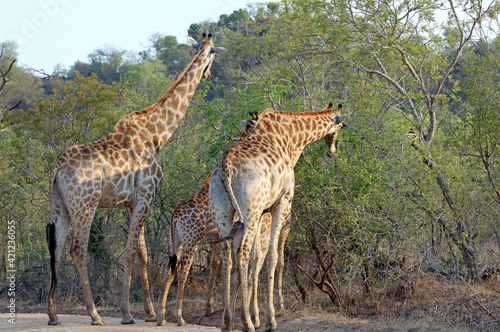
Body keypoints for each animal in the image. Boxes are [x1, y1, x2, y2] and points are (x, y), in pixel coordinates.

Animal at [47, 34, 227, 326]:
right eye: (213, 54)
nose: (209, 74)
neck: (157, 135)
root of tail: (57, 170)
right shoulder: (146, 195)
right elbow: (131, 250)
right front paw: (127, 313)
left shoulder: (132, 202)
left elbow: (142, 253)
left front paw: (151, 311)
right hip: (85, 205)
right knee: (78, 249)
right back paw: (94, 314)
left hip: (59, 205)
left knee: (57, 249)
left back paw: (53, 315)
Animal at [209, 104, 346, 332]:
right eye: (341, 126)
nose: (332, 150)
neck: (290, 138)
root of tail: (225, 170)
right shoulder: (282, 201)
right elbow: (272, 256)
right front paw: (268, 319)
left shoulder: (263, 211)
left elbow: (257, 258)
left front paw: (256, 315)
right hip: (249, 210)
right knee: (242, 252)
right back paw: (246, 322)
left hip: (223, 211)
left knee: (227, 256)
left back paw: (227, 321)